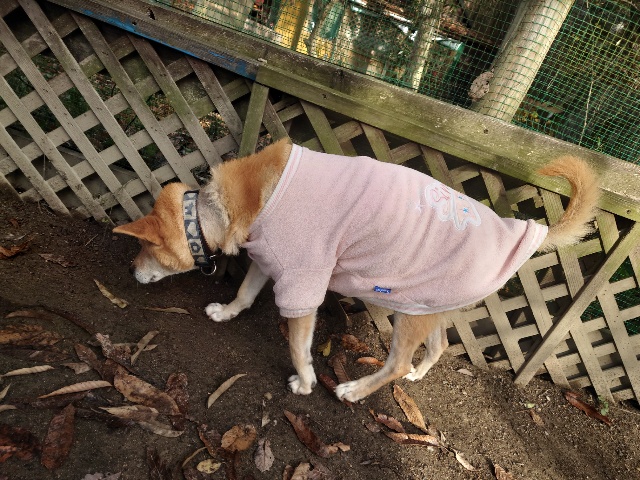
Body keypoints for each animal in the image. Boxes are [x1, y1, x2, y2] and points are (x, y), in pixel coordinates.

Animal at [113, 138, 599, 402]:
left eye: (143, 249)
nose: (131, 271)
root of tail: (518, 231)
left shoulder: (303, 281)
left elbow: (298, 347)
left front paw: (306, 382)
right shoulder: (269, 260)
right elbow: (246, 294)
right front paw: (227, 311)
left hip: (408, 314)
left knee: (397, 364)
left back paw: (355, 390)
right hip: (428, 307)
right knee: (438, 346)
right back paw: (420, 373)